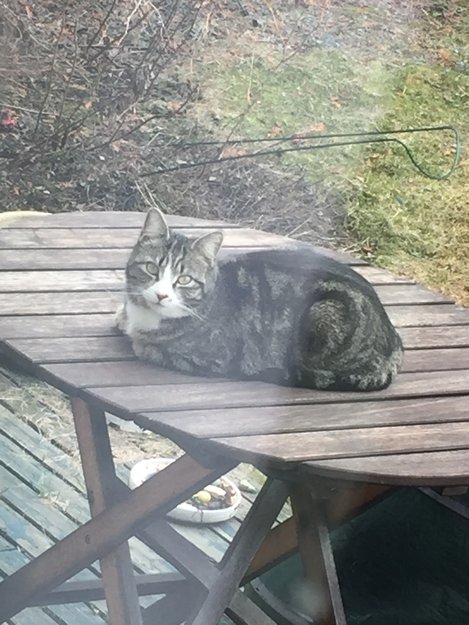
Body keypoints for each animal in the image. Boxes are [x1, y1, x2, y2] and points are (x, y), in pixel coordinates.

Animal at [116, 209, 403, 391]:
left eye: (184, 279)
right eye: (152, 269)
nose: (161, 294)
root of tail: (394, 338)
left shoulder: (216, 359)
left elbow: (150, 348)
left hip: (325, 311)